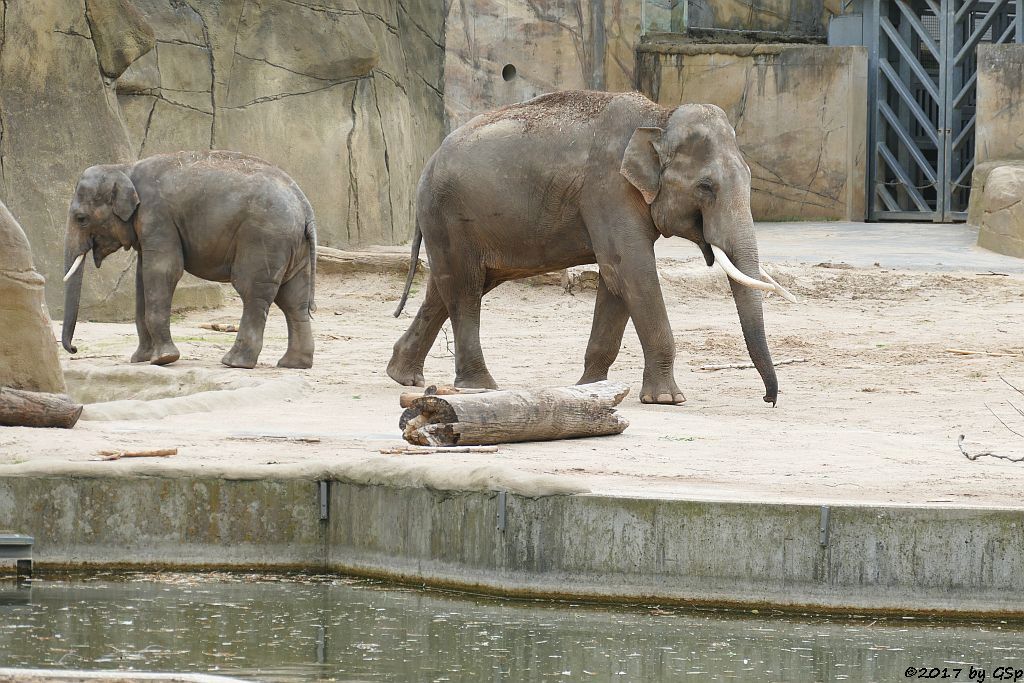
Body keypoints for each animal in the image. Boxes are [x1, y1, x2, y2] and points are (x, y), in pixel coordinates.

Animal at [60, 152, 315, 370]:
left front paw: (163, 360)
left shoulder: (157, 216)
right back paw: (293, 364)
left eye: (81, 218)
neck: (124, 168)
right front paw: (141, 359)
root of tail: (304, 205)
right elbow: (142, 279)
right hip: (294, 247)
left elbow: (163, 271)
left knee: (252, 292)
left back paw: (234, 363)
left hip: (263, 239)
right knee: (293, 300)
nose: (75, 349)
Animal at [387, 88, 794, 403]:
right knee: (465, 290)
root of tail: (428, 162)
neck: (659, 117)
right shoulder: (608, 189)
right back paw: (480, 387)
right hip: (448, 215)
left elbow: (617, 282)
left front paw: (590, 387)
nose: (769, 399)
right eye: (706, 187)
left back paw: (403, 376)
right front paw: (667, 399)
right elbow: (631, 269)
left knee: (446, 287)